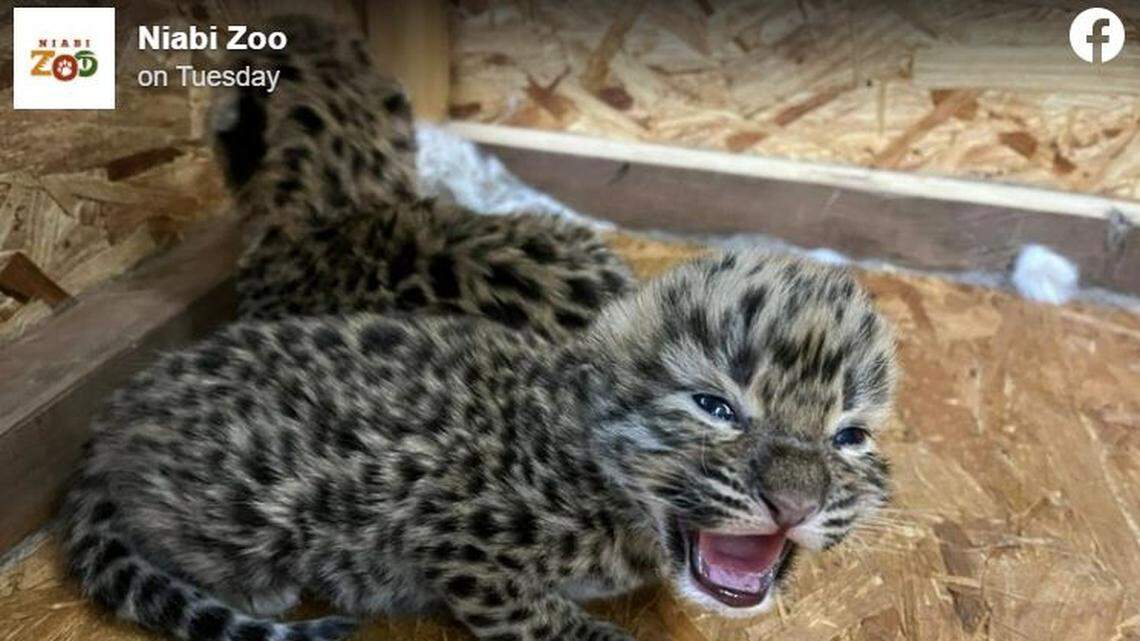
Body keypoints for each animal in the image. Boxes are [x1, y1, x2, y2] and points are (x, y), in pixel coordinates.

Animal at [61, 250, 897, 641]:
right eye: (714, 406)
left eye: (849, 436)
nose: (793, 504)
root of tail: (115, 417)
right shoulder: (464, 542)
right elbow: (546, 618)